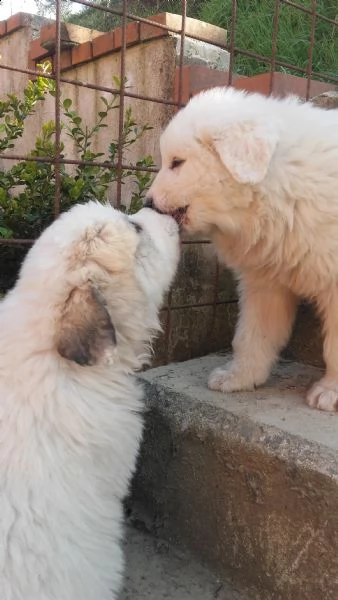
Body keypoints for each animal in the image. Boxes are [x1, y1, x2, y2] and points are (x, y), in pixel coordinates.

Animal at [148, 85, 338, 412]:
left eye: (176, 162)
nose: (147, 203)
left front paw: (330, 392)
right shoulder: (265, 279)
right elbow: (252, 334)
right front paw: (238, 377)